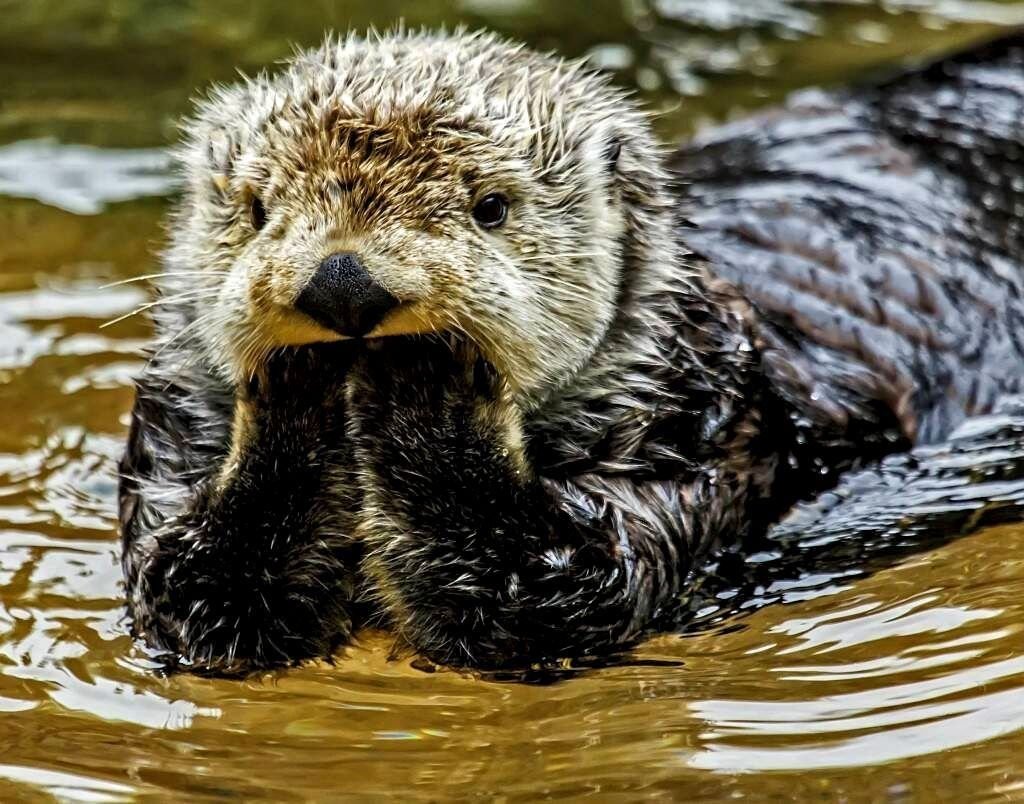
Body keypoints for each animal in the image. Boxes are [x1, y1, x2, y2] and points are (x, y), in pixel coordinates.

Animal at [119, 29, 1024, 671]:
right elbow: (191, 589)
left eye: (491, 207)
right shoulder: (172, 439)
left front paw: (427, 373)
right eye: (257, 209)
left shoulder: (695, 433)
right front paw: (294, 380)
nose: (343, 284)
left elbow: (568, 584)